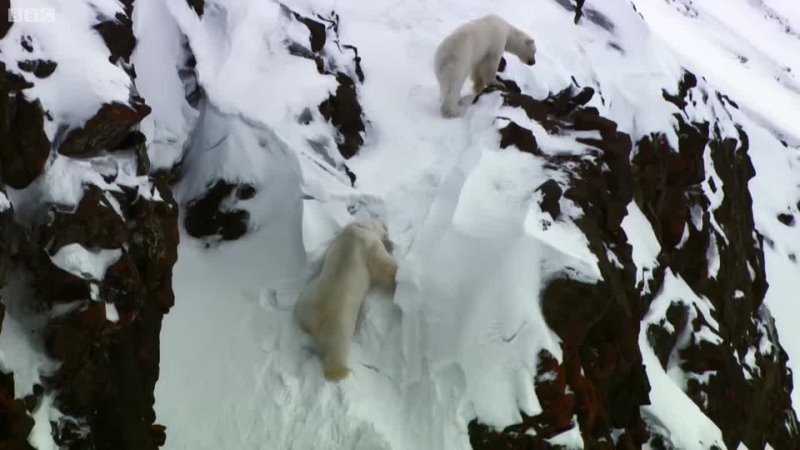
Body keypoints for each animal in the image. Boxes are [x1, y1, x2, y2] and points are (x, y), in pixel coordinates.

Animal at [294, 218, 396, 380]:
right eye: (385, 228)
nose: (388, 233)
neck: (361, 227)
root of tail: (312, 320)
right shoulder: (367, 243)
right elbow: (382, 264)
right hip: (338, 322)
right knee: (337, 350)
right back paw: (343, 371)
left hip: (304, 301)